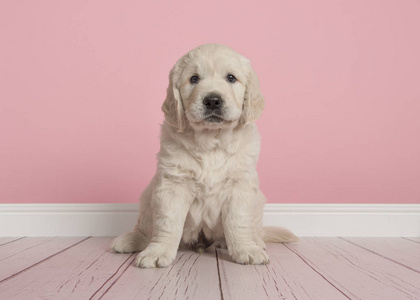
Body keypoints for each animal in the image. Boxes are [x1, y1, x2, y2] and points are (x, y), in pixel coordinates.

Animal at [110, 44, 296, 268]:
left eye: (231, 78)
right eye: (194, 79)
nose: (213, 100)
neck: (211, 141)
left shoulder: (240, 185)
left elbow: (238, 221)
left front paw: (246, 249)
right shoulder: (172, 184)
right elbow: (167, 223)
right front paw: (157, 252)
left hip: (258, 201)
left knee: (254, 228)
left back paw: (256, 242)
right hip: (148, 196)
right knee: (146, 228)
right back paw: (130, 240)